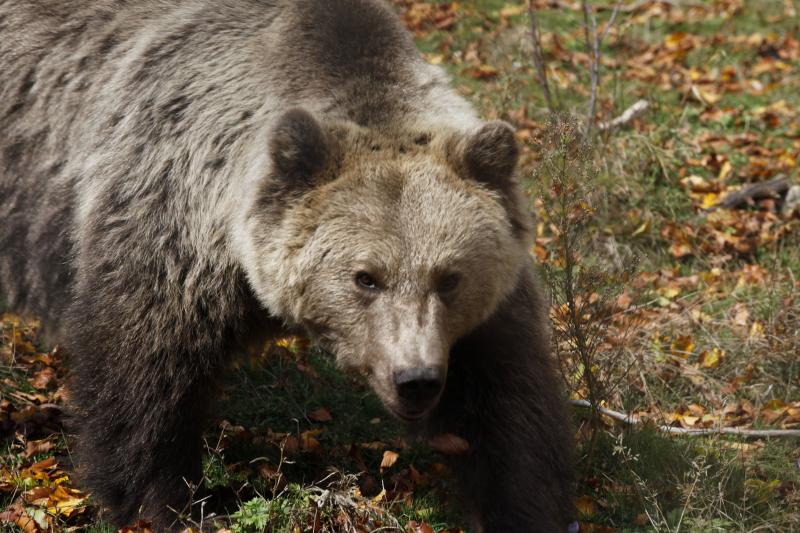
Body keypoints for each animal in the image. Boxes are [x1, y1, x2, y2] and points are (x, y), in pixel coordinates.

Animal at [0, 0, 576, 528]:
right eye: (366, 278)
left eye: (450, 278)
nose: (416, 379)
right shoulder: (170, 218)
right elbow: (144, 371)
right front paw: (166, 499)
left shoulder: (484, 316)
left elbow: (504, 401)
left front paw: (522, 503)